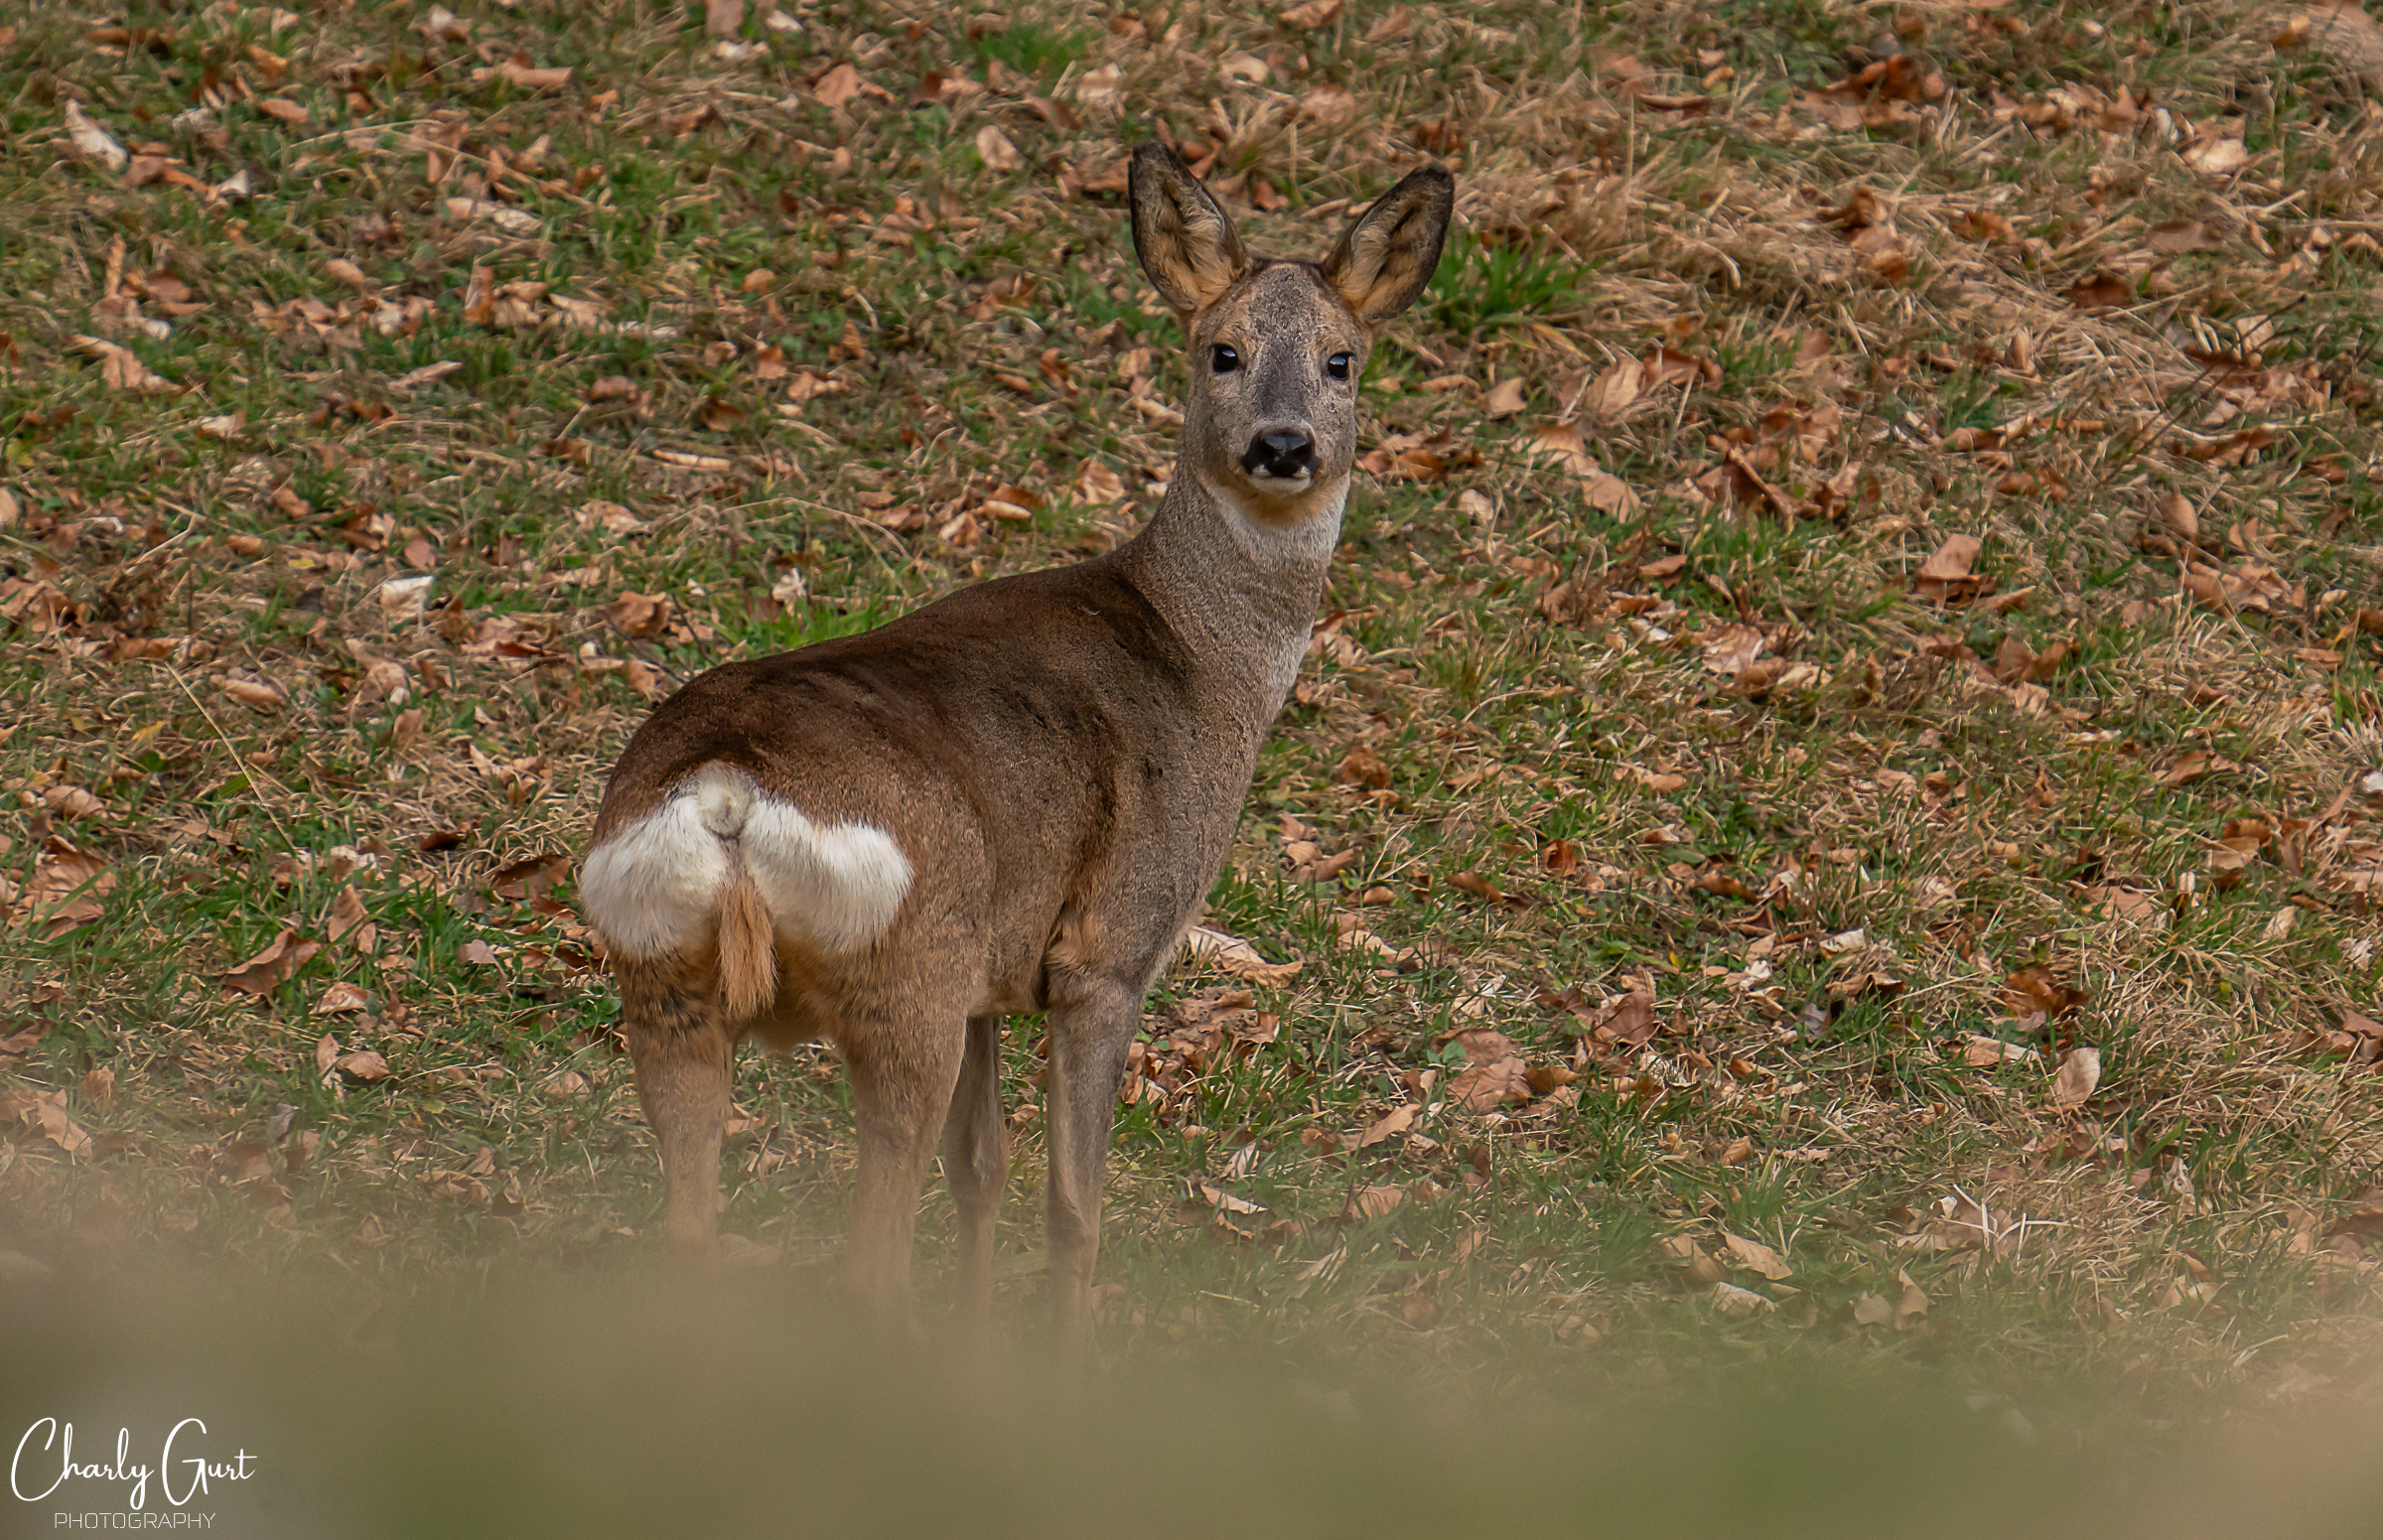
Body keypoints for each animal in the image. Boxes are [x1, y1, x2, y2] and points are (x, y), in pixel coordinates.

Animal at [586, 141, 1458, 1334]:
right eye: (1222, 351)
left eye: (1343, 361)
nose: (1283, 446)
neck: (1201, 661)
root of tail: (728, 794)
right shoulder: (1106, 952)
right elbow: (1074, 1211)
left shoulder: (994, 977)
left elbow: (984, 1173)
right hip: (904, 976)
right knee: (867, 1256)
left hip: (665, 978)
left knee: (687, 1233)